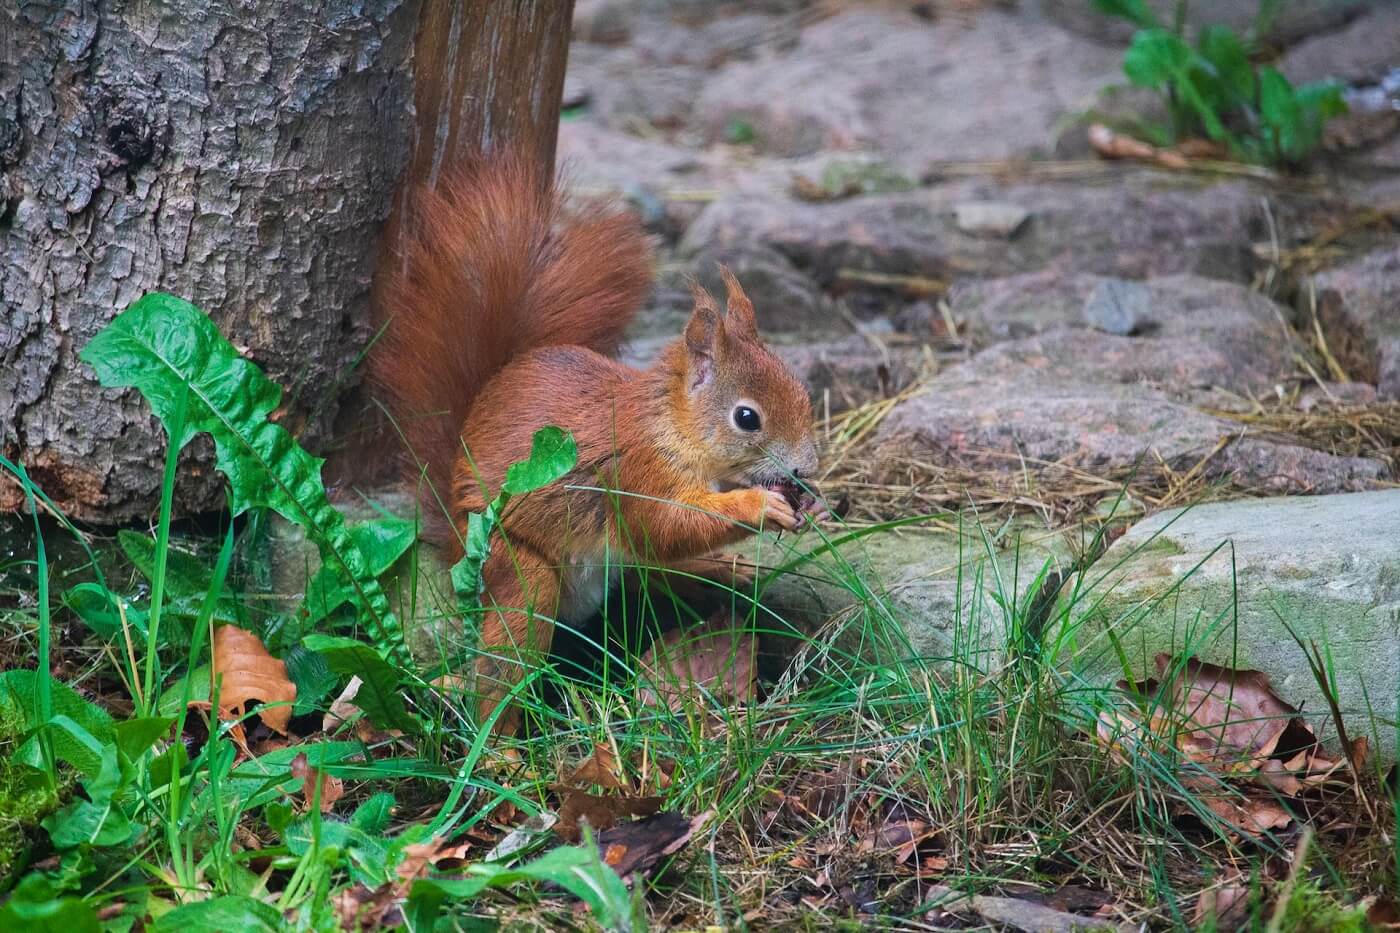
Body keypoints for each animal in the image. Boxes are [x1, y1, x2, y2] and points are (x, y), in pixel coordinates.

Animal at [372, 156, 817, 728]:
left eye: (802, 390)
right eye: (747, 418)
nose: (806, 470)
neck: (672, 426)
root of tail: (451, 527)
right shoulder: (636, 469)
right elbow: (665, 526)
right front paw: (762, 506)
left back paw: (723, 569)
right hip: (511, 566)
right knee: (504, 664)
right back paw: (501, 743)